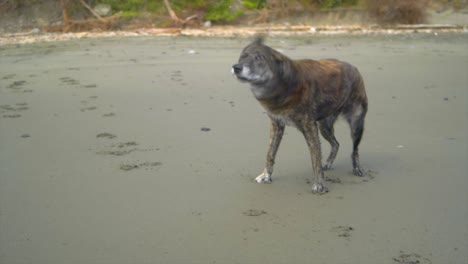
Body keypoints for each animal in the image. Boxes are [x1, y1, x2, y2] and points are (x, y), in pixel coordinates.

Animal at [232, 36, 368, 194]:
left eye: (259, 57)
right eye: (242, 57)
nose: (236, 67)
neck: (284, 84)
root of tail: (354, 68)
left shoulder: (309, 127)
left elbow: (315, 158)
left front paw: (319, 185)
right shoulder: (277, 125)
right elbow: (270, 153)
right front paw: (266, 175)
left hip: (356, 124)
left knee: (355, 149)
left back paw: (357, 168)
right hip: (325, 127)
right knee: (336, 143)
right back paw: (328, 163)